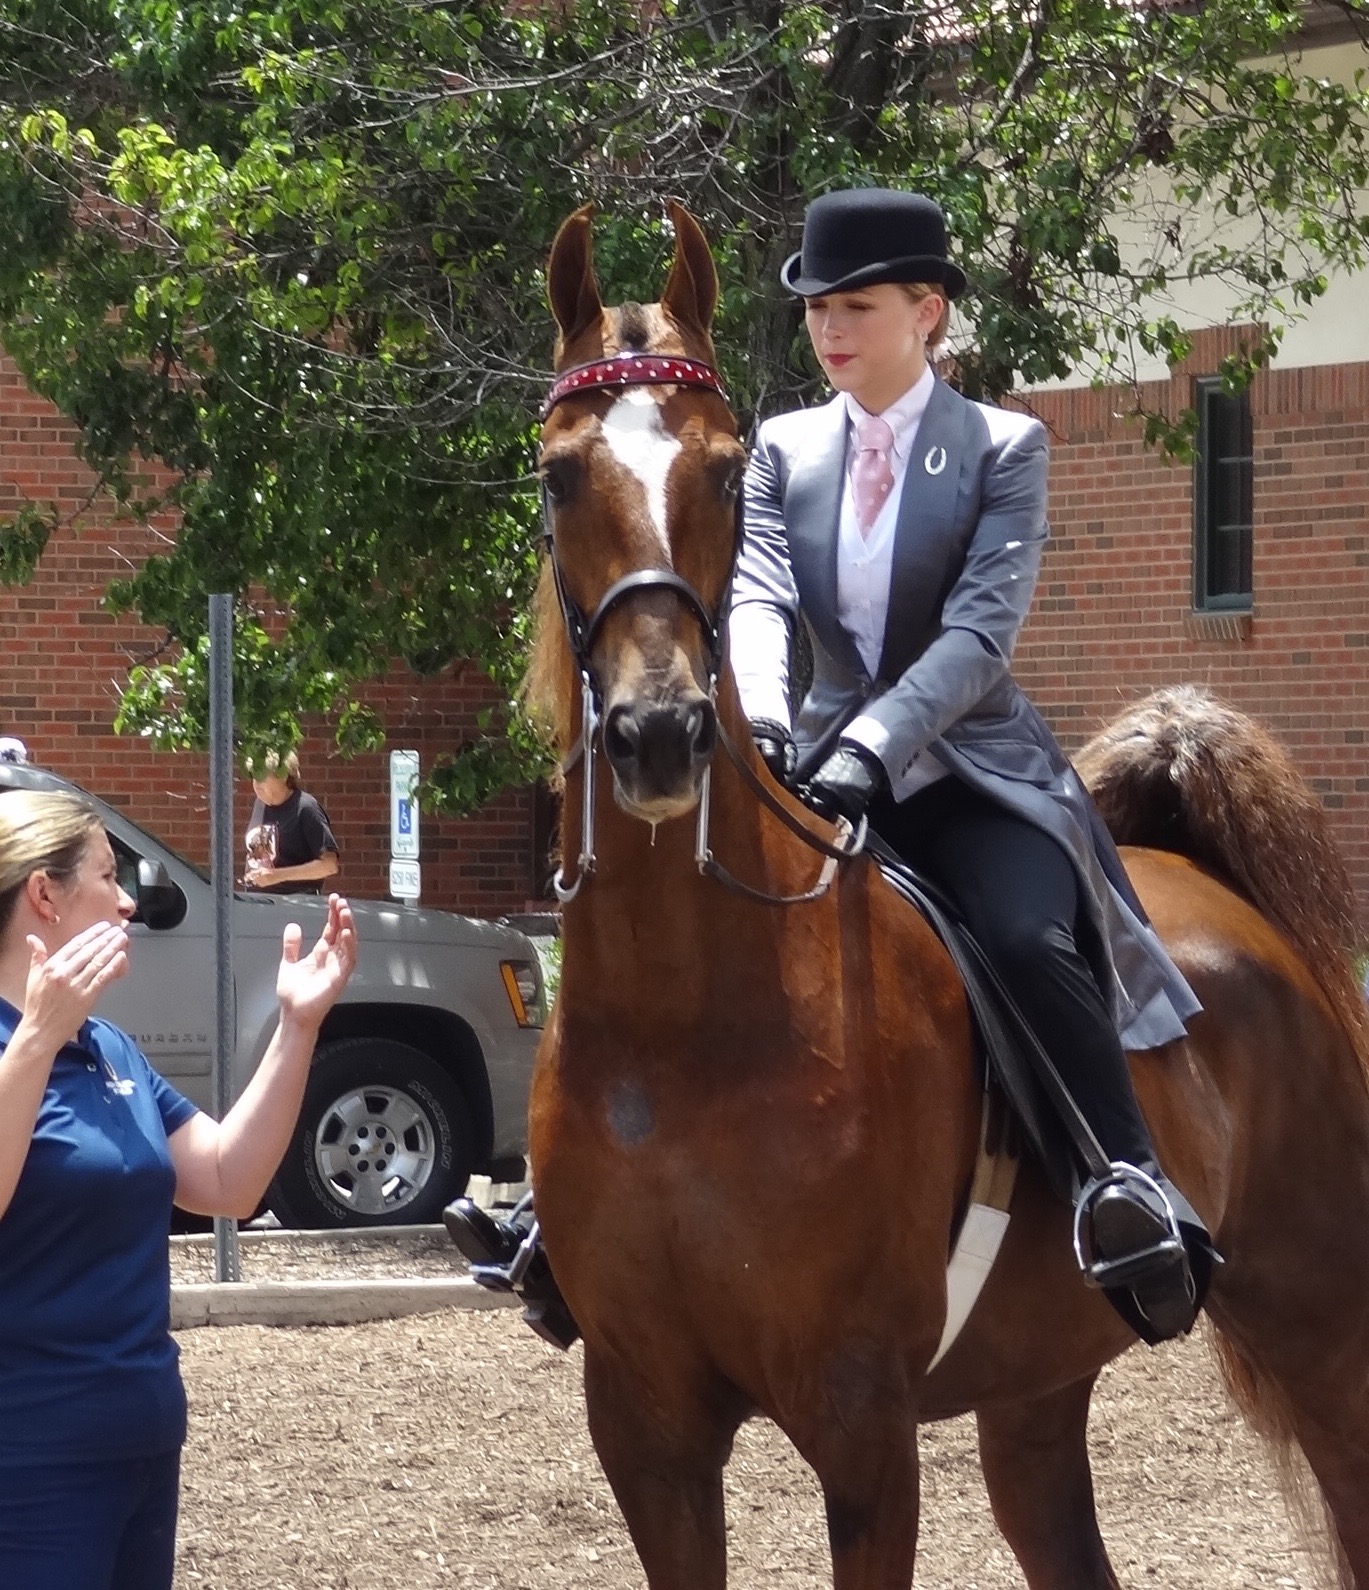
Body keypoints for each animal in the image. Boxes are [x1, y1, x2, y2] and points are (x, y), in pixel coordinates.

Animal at [521, 201, 1367, 1590]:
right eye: (557, 476)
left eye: (724, 470)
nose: (657, 737)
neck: (682, 1028)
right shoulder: (642, 1422)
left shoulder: (859, 1419)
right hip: (1039, 1382)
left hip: (1318, 1321)